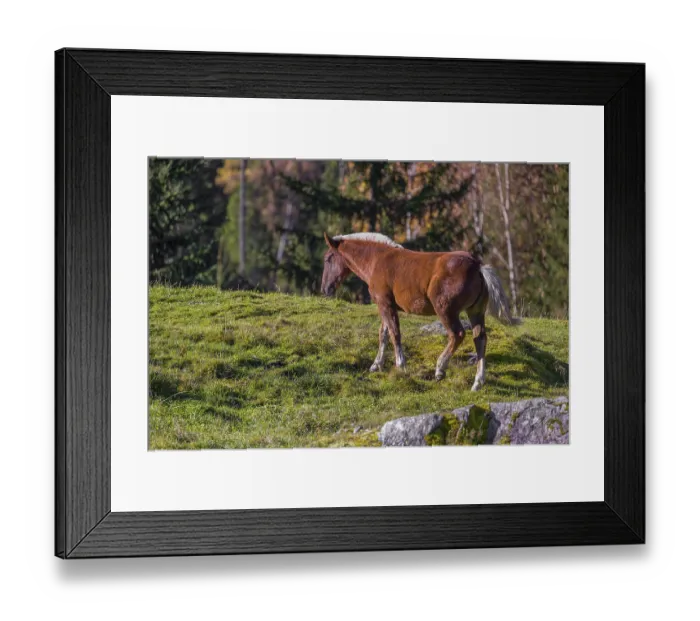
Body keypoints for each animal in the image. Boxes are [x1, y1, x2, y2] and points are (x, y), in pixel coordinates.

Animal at [320, 232, 514, 391]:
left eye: (328, 258)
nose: (325, 289)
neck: (377, 260)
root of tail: (476, 265)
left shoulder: (385, 303)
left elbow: (394, 333)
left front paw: (400, 365)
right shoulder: (385, 305)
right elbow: (383, 333)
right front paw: (376, 365)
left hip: (446, 310)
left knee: (457, 334)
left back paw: (440, 369)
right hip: (475, 311)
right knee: (480, 338)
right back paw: (478, 382)